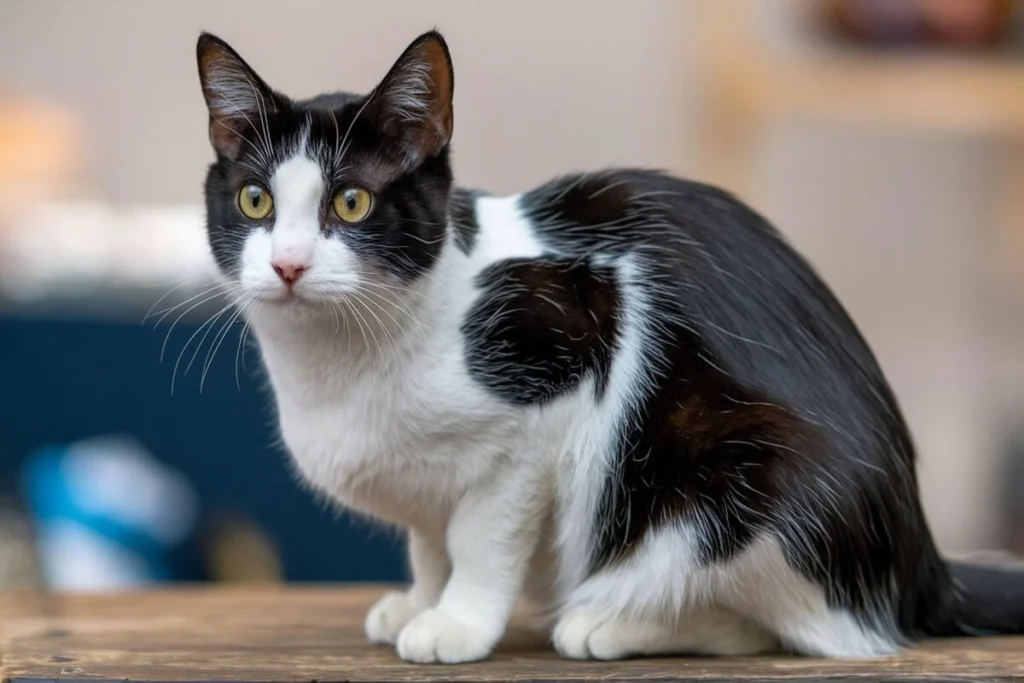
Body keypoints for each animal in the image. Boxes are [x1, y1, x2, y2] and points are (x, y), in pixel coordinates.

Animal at [193, 30, 1024, 663]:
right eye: (255, 200)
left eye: (352, 202)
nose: (288, 265)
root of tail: (923, 562)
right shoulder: (433, 486)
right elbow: (431, 540)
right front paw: (420, 600)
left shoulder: (551, 381)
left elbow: (480, 539)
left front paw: (457, 622)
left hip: (736, 478)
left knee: (784, 624)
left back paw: (608, 621)